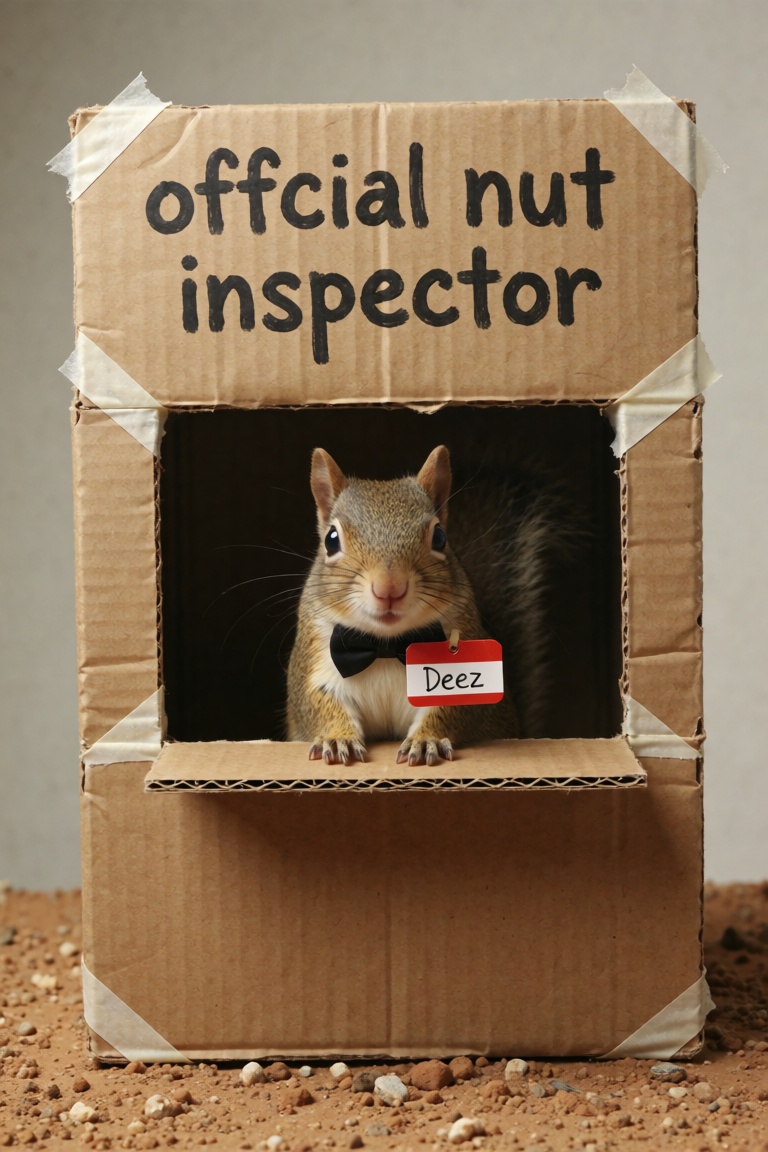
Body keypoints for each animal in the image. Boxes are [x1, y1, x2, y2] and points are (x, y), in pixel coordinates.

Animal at [286, 445, 524, 766]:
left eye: (440, 537)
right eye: (331, 540)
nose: (389, 588)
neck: (385, 647)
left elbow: (453, 708)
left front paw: (426, 740)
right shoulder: (313, 661)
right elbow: (317, 704)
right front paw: (337, 739)